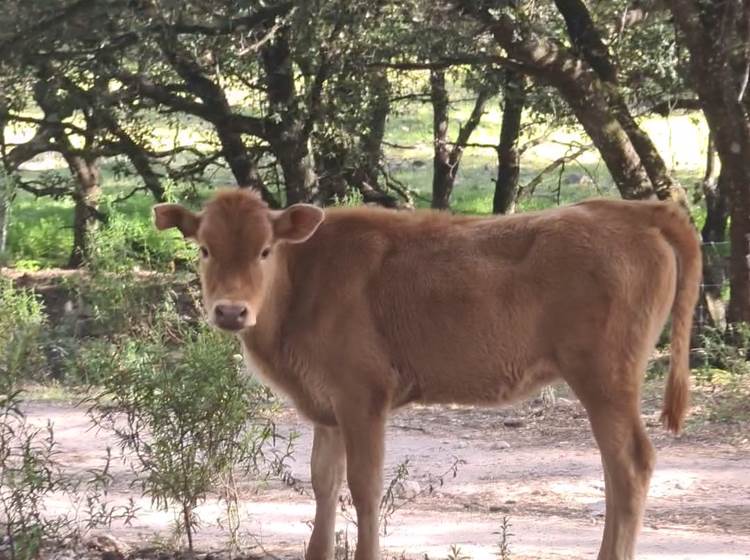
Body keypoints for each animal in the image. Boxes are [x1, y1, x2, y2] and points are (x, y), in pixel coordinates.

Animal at [154, 189, 704, 560]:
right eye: (204, 248)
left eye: (265, 250)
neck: (304, 280)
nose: (231, 311)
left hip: (606, 380)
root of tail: (632, 210)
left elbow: (365, 486)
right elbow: (324, 483)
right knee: (615, 471)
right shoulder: (327, 410)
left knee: (630, 465)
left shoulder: (362, 398)